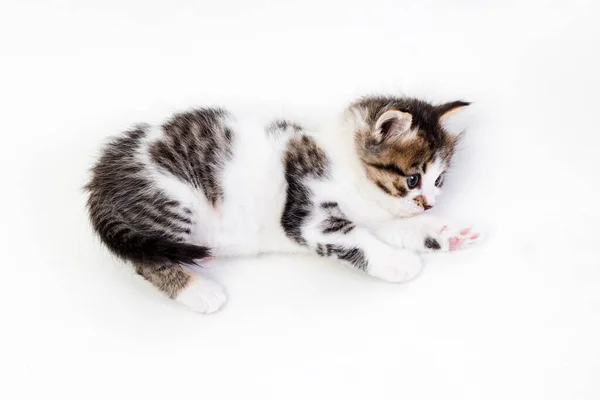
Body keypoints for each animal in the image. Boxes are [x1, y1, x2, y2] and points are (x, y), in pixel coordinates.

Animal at [85, 96, 482, 312]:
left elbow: (396, 228)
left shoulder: (376, 215)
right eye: (413, 179)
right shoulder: (309, 214)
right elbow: (356, 239)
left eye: (439, 181)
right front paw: (400, 263)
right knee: (146, 261)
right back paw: (198, 290)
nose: (430, 204)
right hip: (173, 199)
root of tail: (101, 174)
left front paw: (448, 231)